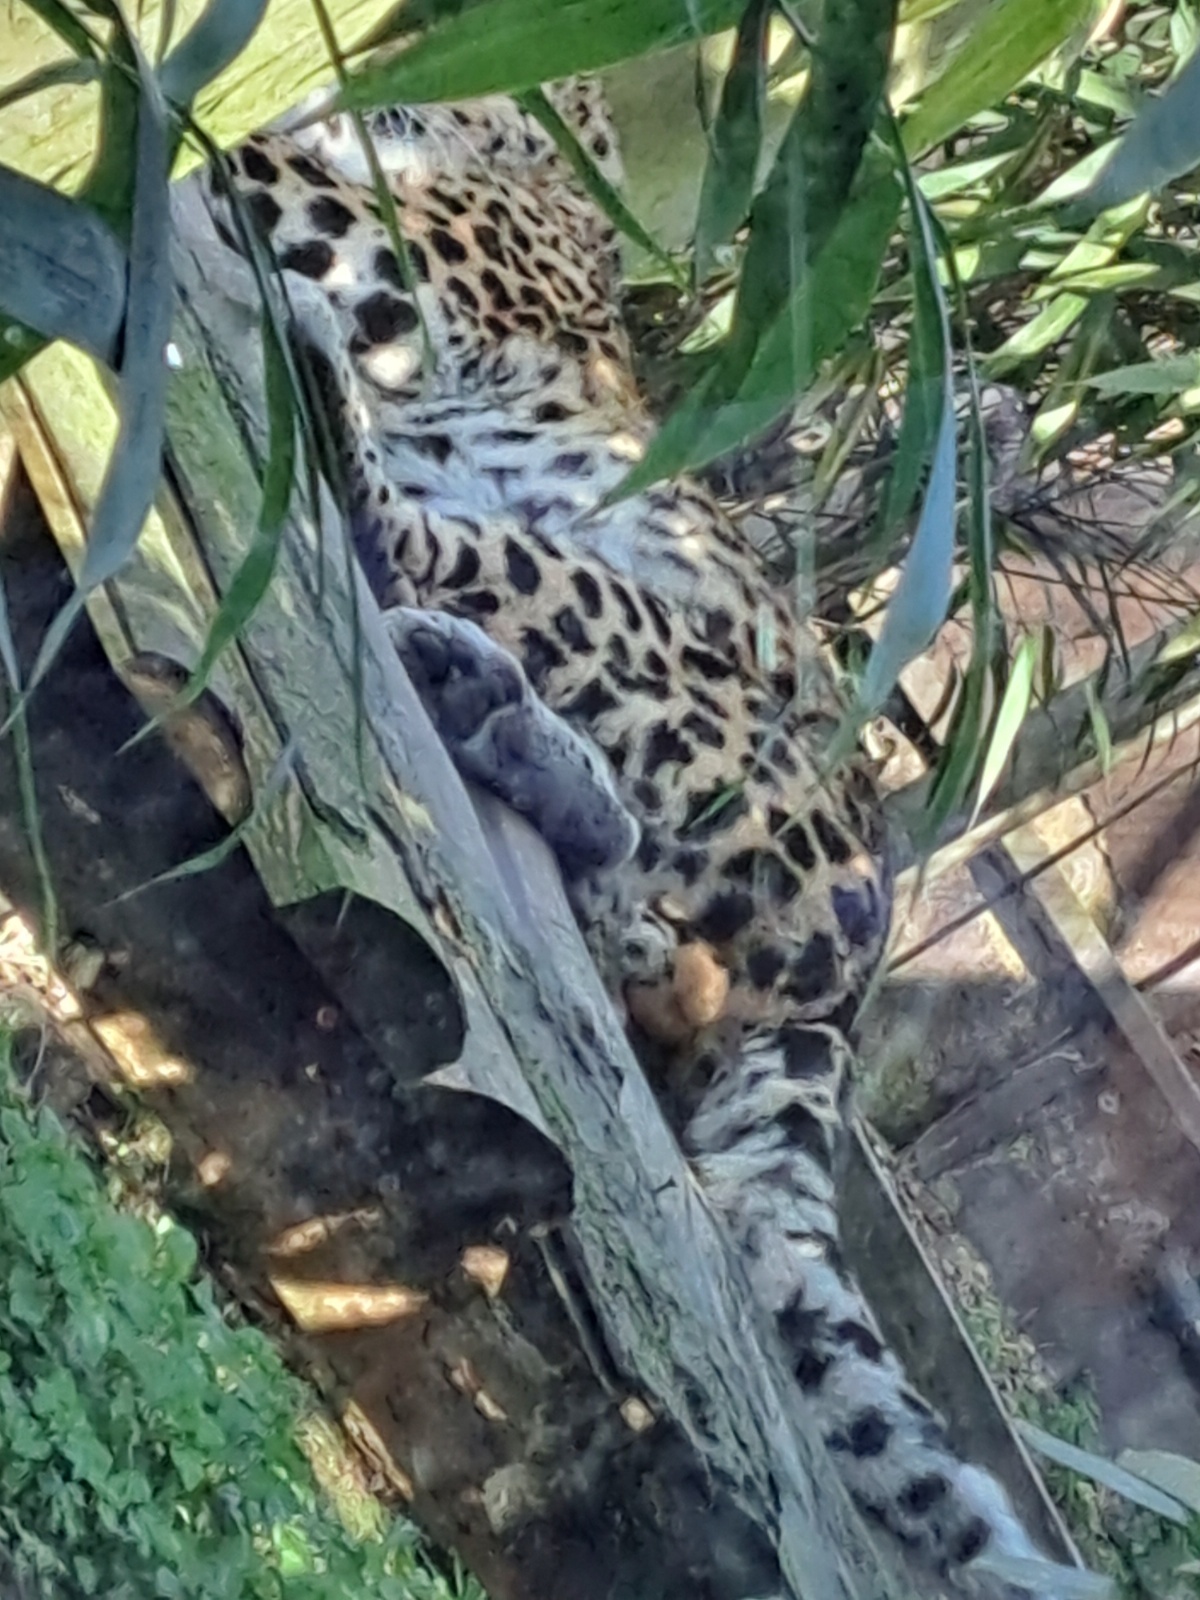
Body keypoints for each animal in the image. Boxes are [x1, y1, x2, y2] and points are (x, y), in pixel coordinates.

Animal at [204, 74, 1080, 1600]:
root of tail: (866, 956)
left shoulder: (398, 234)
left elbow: (250, 158)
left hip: (662, 632)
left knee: (431, 549)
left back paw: (362, 468)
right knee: (654, 946)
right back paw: (483, 707)